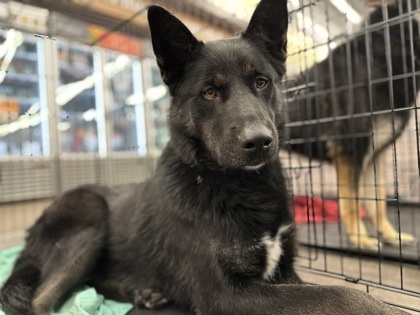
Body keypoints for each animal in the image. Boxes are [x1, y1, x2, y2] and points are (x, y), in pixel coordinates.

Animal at [288, 1, 418, 251]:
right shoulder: (351, 151)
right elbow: (352, 202)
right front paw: (360, 239)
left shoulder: (375, 156)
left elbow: (378, 202)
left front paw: (390, 236)